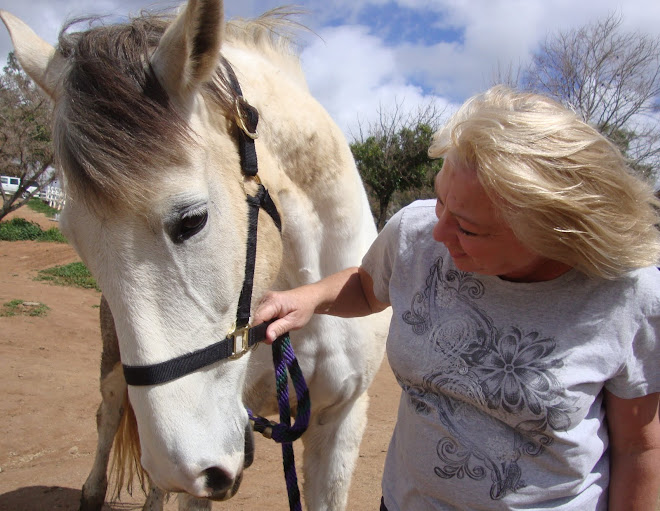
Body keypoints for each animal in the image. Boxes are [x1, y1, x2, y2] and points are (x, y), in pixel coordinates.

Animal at [1, 2, 386, 510]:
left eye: (191, 220)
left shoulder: (341, 419)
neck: (309, 291)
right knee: (108, 415)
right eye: (76, 241)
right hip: (115, 365)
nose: (183, 465)